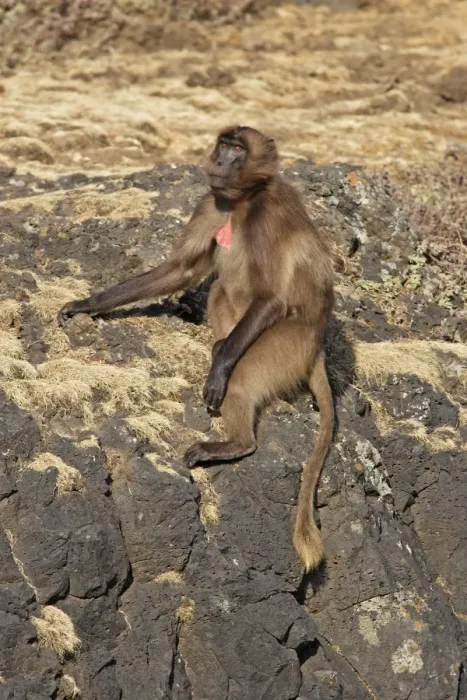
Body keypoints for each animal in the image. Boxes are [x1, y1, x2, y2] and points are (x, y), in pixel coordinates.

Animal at [58, 126, 335, 572]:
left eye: (238, 149)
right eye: (224, 145)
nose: (219, 161)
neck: (241, 202)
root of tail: (317, 346)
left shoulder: (269, 212)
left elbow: (272, 298)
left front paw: (218, 368)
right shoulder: (212, 202)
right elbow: (181, 271)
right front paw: (88, 303)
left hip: (286, 344)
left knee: (243, 375)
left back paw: (234, 436)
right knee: (220, 288)